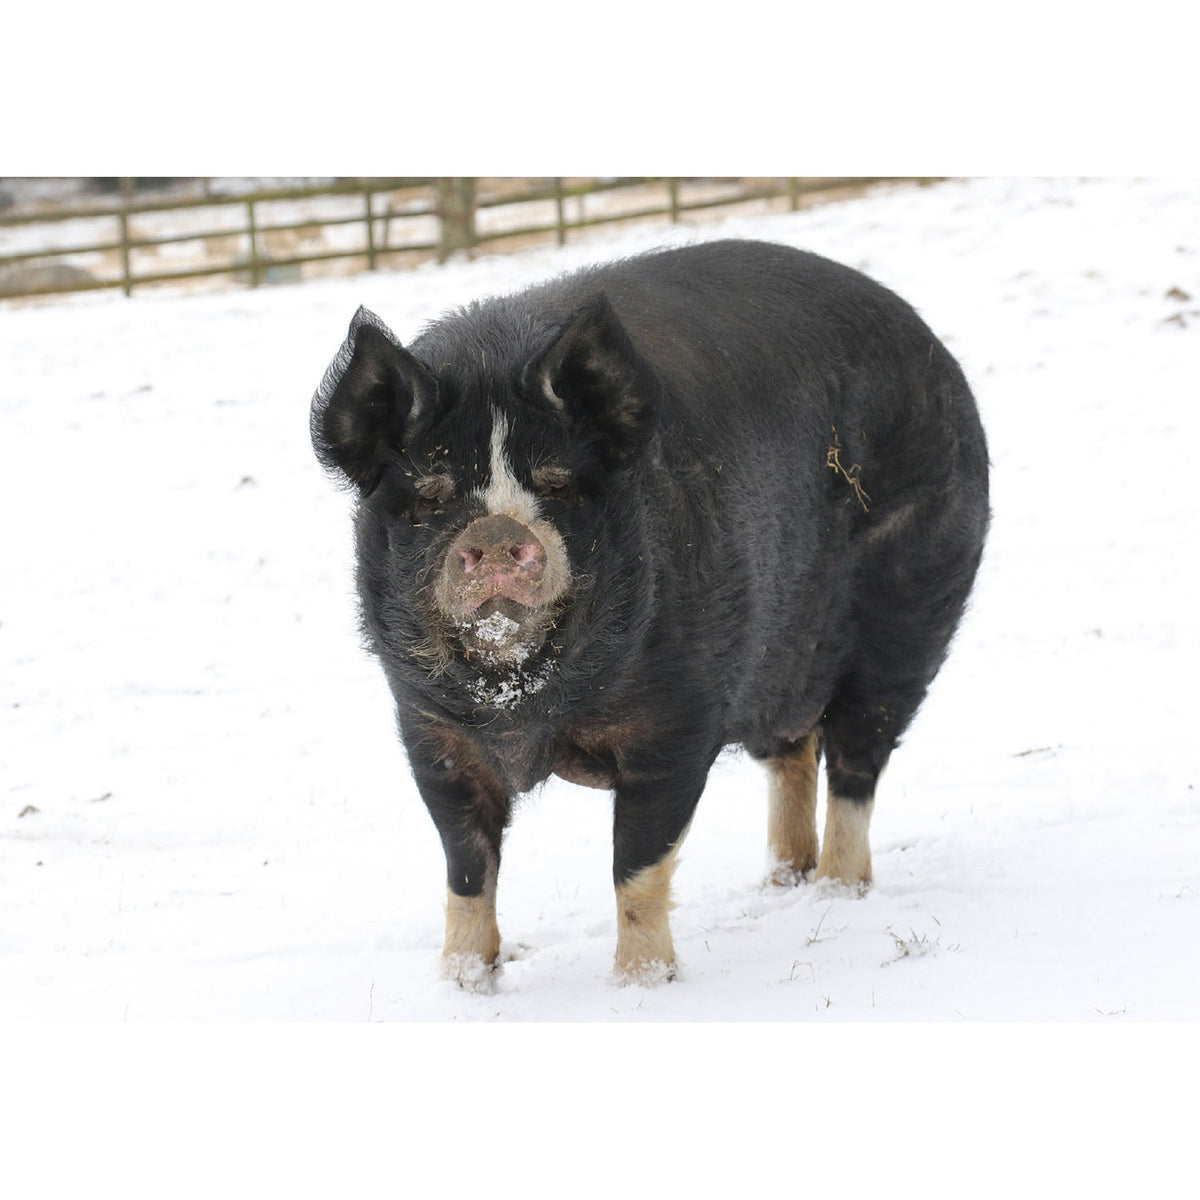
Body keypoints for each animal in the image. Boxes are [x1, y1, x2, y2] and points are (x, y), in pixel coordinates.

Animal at [310, 239, 989, 988]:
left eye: (558, 484)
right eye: (431, 496)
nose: (493, 530)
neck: (527, 707)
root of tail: (934, 350)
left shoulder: (678, 719)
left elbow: (637, 863)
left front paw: (642, 983)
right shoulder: (430, 730)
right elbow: (465, 868)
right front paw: (463, 984)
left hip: (908, 620)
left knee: (857, 759)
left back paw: (838, 894)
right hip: (781, 662)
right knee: (793, 754)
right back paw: (782, 882)